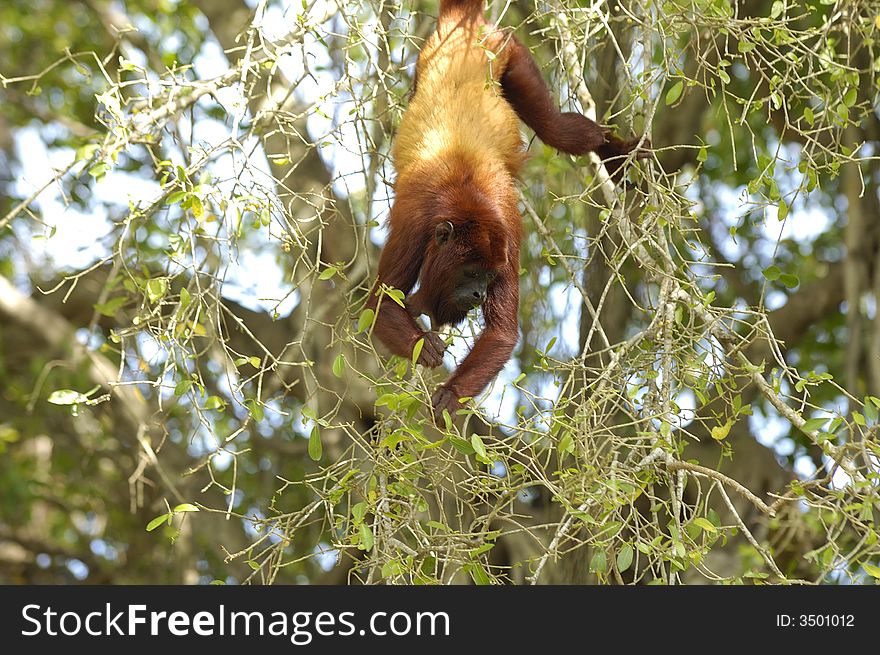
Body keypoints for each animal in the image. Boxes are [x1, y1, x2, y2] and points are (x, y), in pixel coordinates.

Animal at [368, 0, 648, 420]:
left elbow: (501, 332)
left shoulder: (506, 235)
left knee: (556, 129)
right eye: (471, 272)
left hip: (510, 53)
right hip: (433, 56)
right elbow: (382, 302)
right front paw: (424, 343)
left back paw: (613, 152)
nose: (479, 294)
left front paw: (451, 394)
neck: (461, 199)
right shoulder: (412, 220)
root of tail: (464, 28)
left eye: (488, 276)